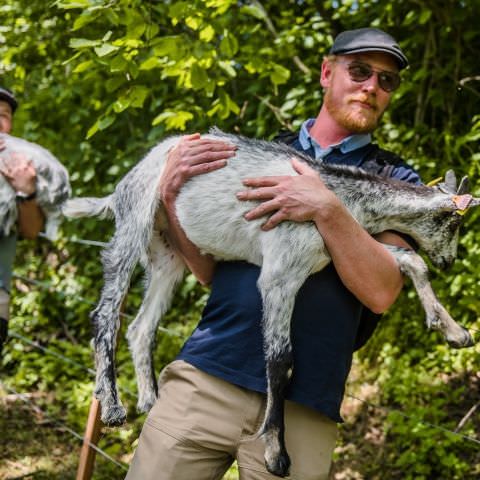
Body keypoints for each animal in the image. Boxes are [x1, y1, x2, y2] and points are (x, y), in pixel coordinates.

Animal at [62, 129, 476, 478]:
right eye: (454, 224)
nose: (449, 262)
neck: (341, 197)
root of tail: (122, 186)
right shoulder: (281, 273)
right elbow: (280, 359)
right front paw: (276, 453)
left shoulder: (335, 255)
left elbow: (410, 261)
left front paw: (455, 332)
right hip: (135, 221)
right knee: (106, 313)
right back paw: (112, 405)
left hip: (168, 253)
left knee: (142, 325)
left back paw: (149, 399)